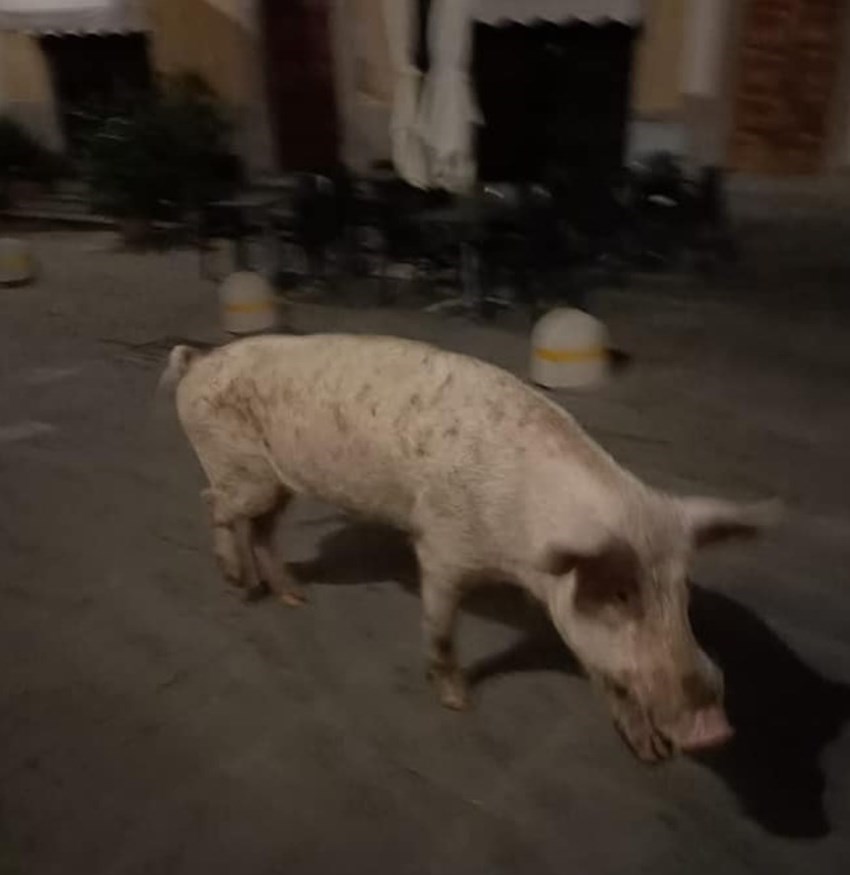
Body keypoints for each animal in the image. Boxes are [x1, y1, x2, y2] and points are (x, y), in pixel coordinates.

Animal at [163, 333, 779, 762]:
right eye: (622, 593)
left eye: (682, 594)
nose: (717, 729)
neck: (523, 549)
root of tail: (197, 360)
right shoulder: (442, 547)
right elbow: (439, 628)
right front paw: (459, 704)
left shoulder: (565, 608)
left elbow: (603, 668)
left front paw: (651, 756)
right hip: (238, 469)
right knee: (212, 503)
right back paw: (239, 584)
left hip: (276, 480)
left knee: (261, 526)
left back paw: (291, 597)